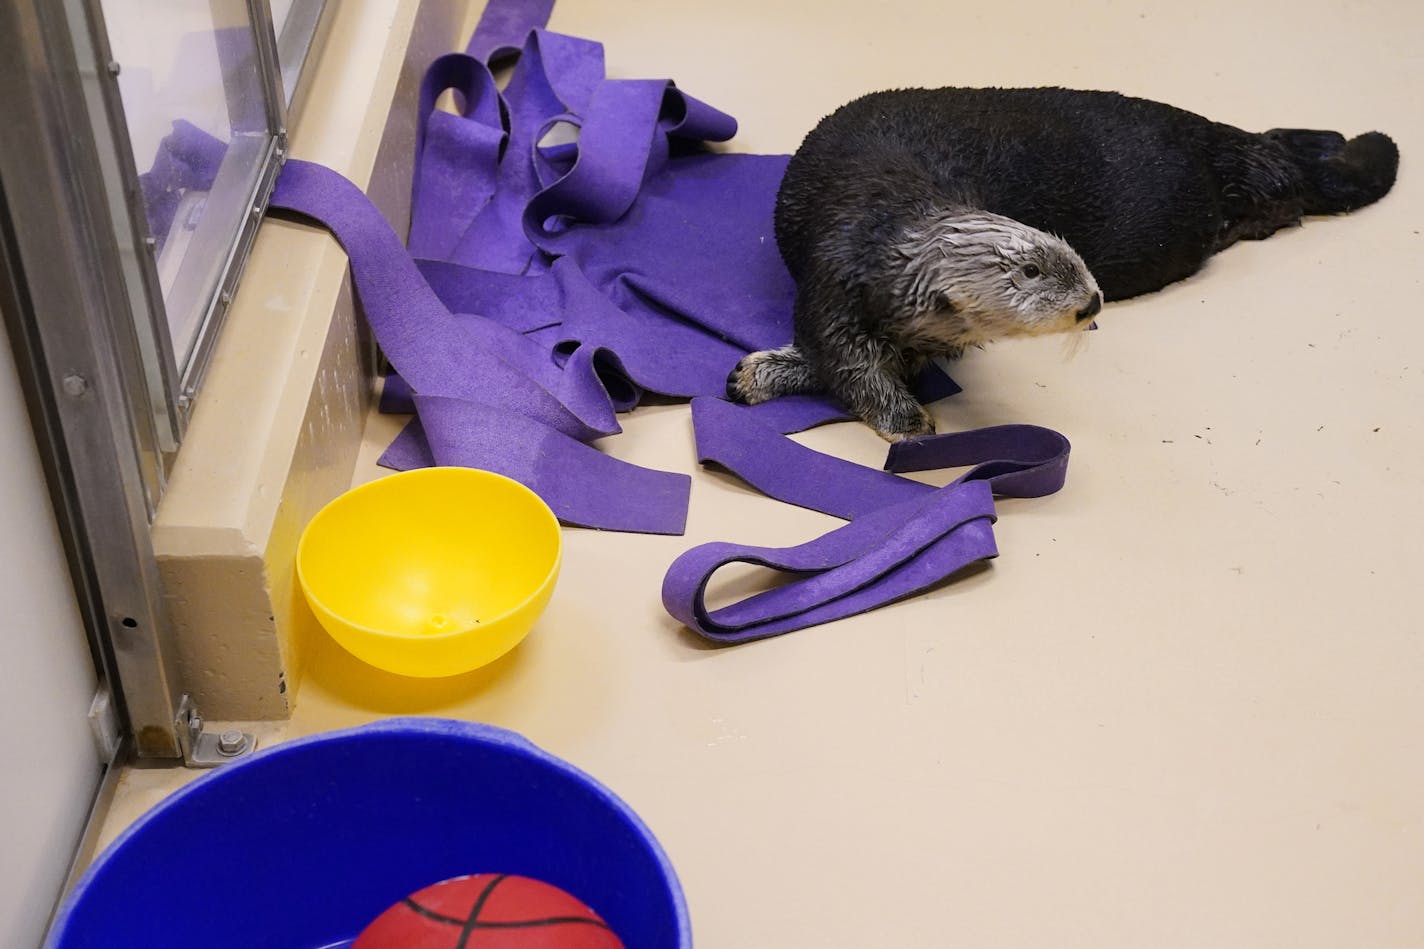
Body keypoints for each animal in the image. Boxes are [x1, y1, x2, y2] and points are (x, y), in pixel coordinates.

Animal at [729, 86, 1395, 438]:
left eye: (1072, 259)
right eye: (1029, 274)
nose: (1093, 301)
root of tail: (1217, 138)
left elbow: (880, 361)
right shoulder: (833, 284)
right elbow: (846, 358)